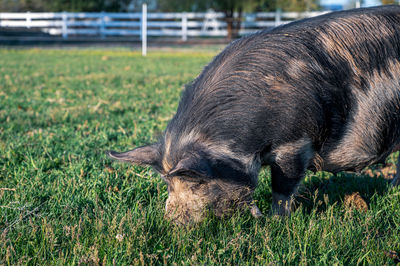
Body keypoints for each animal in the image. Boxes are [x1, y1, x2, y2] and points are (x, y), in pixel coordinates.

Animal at [106, 5, 400, 223]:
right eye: (167, 183)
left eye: (196, 182)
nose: (172, 223)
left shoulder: (295, 143)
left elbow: (282, 188)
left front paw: (275, 222)